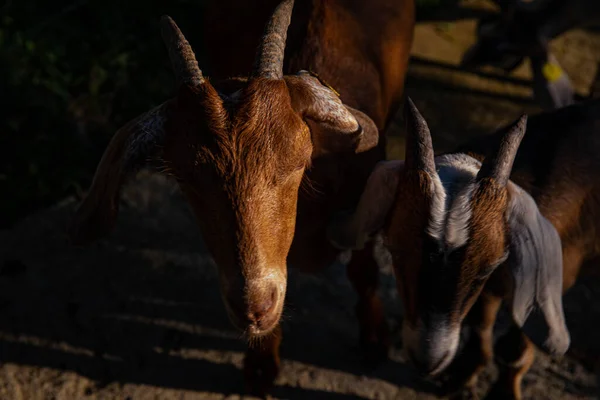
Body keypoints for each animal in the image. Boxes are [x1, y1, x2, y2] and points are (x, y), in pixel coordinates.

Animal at [65, 0, 412, 396]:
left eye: (298, 159)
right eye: (185, 179)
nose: (254, 307)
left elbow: (363, 269)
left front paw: (375, 340)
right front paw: (260, 365)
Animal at [330, 97, 600, 400]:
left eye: (486, 268)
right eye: (395, 251)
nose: (427, 362)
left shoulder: (557, 270)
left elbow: (517, 342)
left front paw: (503, 392)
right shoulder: (489, 290)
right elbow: (481, 323)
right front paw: (463, 375)